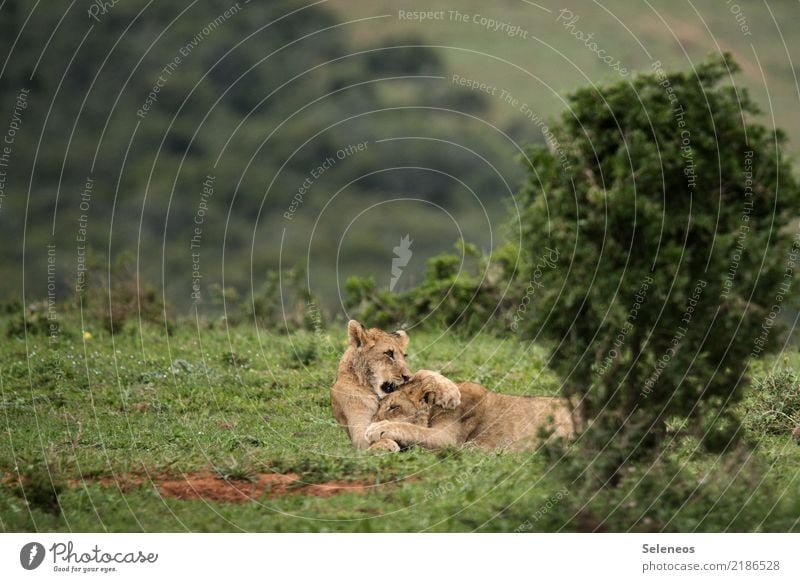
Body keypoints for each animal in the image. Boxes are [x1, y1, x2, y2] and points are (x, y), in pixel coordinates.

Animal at [330, 322, 460, 454]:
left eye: (404, 356)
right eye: (388, 353)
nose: (407, 376)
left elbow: (422, 372)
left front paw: (451, 394)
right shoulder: (359, 435)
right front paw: (386, 444)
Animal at [364, 376, 580, 454]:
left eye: (393, 407)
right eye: (379, 406)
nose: (371, 421)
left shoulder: (447, 438)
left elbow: (409, 427)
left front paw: (377, 429)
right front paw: (381, 445)